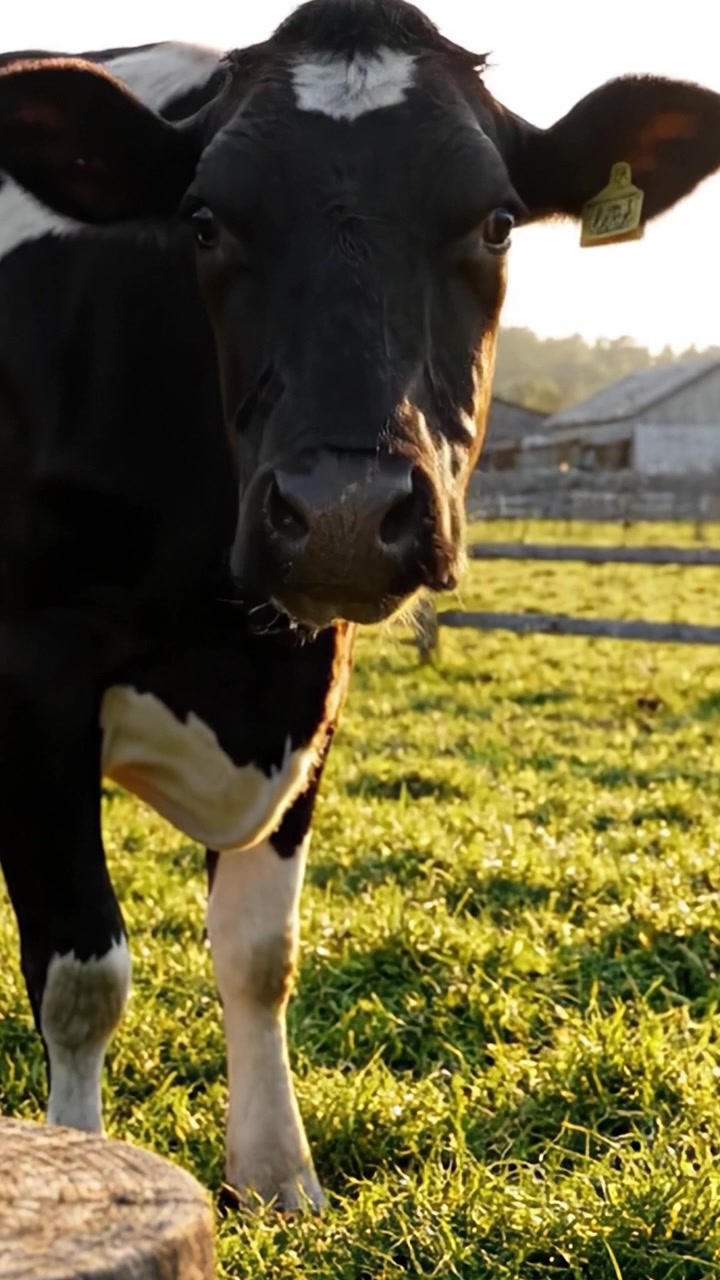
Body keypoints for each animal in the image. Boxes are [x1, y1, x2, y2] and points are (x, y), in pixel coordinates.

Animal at [0, 0, 719, 1214]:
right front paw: (80, 1177)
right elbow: (83, 976)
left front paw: (277, 1177)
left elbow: (258, 950)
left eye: (498, 222)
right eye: (203, 221)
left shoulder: (315, 674)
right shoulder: (34, 673)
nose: (340, 511)